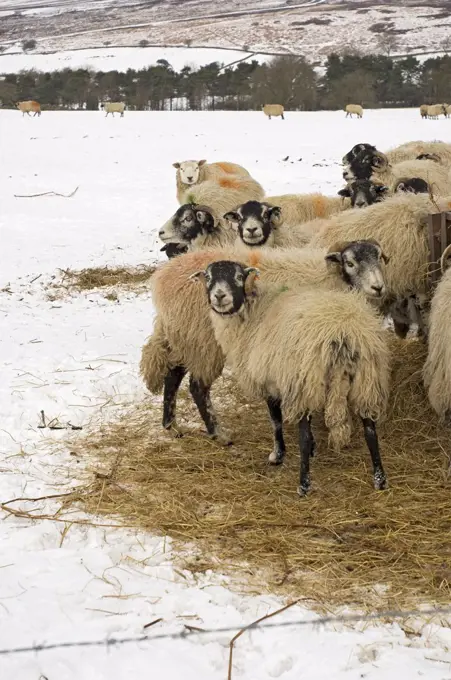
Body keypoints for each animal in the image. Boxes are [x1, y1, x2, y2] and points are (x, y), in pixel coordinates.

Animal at [192, 260, 390, 494]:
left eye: (239, 277)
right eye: (208, 277)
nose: (220, 296)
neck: (253, 310)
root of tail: (342, 332)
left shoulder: (270, 382)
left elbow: (276, 422)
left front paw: (278, 455)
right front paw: (313, 449)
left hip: (304, 381)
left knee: (302, 436)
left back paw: (303, 485)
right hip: (366, 380)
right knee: (370, 430)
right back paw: (380, 479)